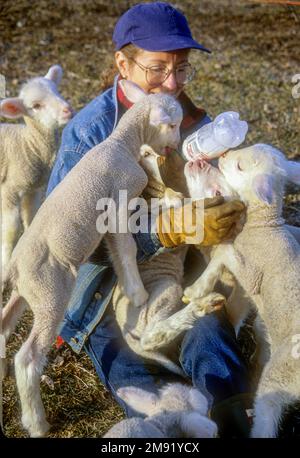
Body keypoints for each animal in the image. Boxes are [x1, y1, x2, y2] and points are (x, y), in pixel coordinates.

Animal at [0, 64, 72, 272]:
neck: (28, 145)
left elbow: (31, 221)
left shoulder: (33, 189)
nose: (67, 110)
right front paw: (5, 264)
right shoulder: (8, 189)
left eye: (57, 91)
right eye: (36, 106)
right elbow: (11, 231)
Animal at [183, 145, 300, 438]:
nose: (206, 160)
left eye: (239, 167)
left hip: (281, 374)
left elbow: (225, 253)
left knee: (267, 413)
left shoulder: (250, 278)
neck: (263, 226)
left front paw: (197, 290)